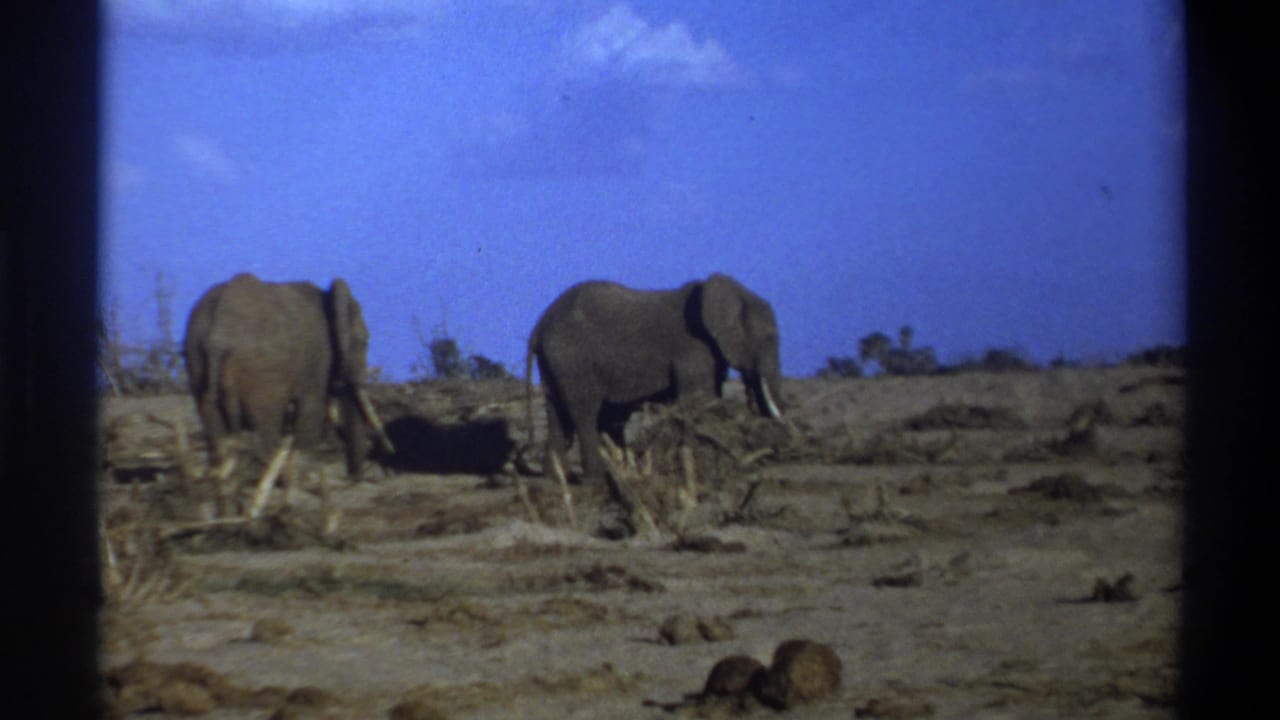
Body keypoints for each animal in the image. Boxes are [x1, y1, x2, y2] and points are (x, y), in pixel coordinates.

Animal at [183, 272, 392, 491]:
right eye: (362, 340)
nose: (355, 479)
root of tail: (218, 335)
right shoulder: (318, 358)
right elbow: (312, 409)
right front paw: (307, 479)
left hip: (195, 354)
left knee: (212, 422)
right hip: (262, 372)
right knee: (265, 423)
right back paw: (277, 479)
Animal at [525, 273, 784, 484]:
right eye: (769, 339)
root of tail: (539, 326)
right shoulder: (692, 348)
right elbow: (700, 400)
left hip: (555, 363)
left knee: (557, 414)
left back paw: (558, 478)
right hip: (572, 361)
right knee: (585, 413)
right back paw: (597, 479)